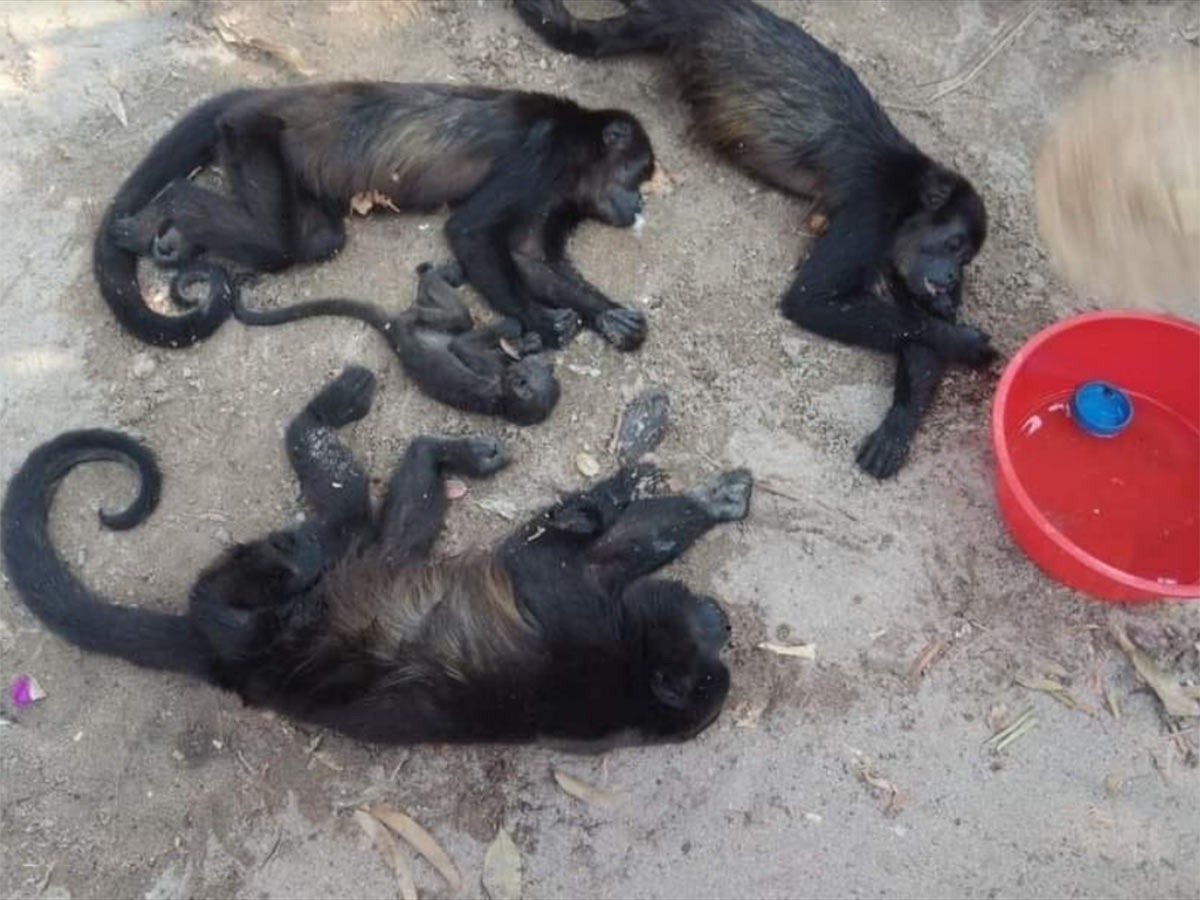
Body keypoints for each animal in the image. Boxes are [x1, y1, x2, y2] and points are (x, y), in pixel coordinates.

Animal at [1, 367, 753, 746]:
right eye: (708, 647)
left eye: (709, 667)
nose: (724, 620)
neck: (632, 671)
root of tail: (221, 660)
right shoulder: (591, 607)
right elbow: (624, 536)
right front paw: (688, 494)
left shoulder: (576, 612)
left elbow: (585, 544)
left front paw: (631, 496)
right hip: (362, 562)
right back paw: (418, 437)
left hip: (314, 597)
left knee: (305, 538)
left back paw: (280, 547)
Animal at [97, 82, 656, 353]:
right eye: (638, 176)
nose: (641, 205)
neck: (578, 154)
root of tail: (260, 96)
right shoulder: (542, 155)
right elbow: (471, 232)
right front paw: (539, 321)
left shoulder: (556, 195)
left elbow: (530, 258)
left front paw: (607, 314)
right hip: (250, 134)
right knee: (274, 243)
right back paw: (166, 209)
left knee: (316, 240)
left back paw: (175, 239)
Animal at [234, 261, 560, 426]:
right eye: (536, 371)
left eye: (525, 378)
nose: (530, 367)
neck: (503, 402)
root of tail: (395, 334)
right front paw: (528, 341)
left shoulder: (493, 373)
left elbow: (461, 348)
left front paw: (516, 333)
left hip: (413, 324)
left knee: (446, 315)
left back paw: (432, 282)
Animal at [518, 0, 997, 478]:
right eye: (955, 245)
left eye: (966, 258)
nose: (951, 277)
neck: (909, 195)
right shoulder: (872, 213)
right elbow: (811, 300)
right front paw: (965, 341)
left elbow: (920, 337)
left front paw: (898, 424)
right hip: (671, 24)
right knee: (591, 40)